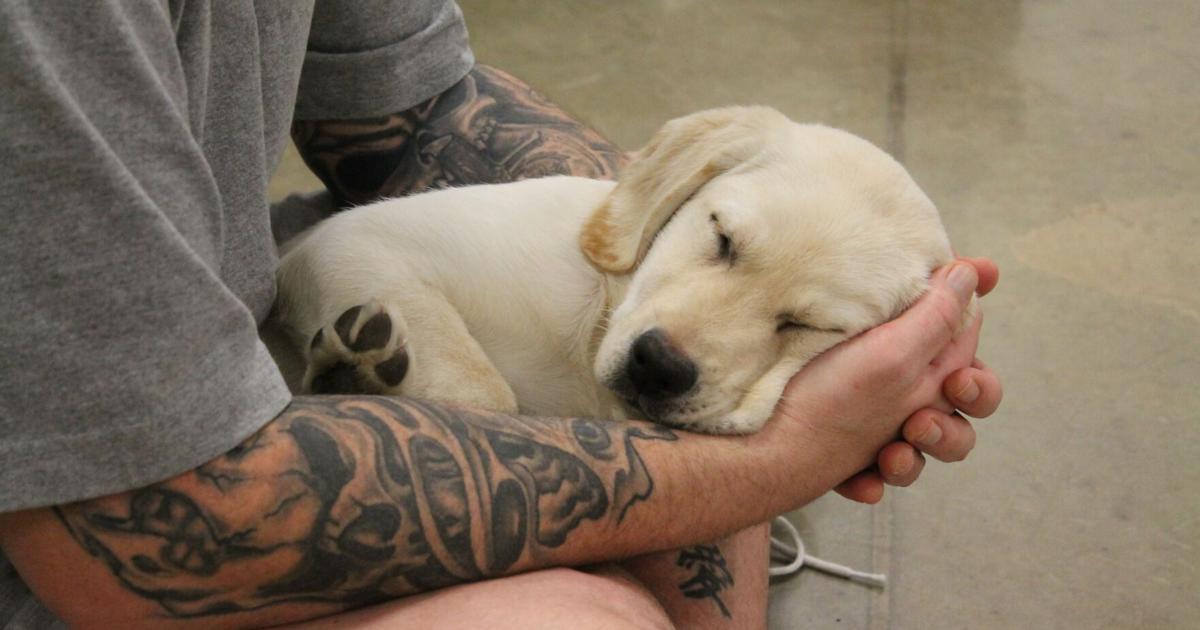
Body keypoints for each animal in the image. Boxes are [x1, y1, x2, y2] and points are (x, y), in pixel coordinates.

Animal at [276, 105, 960, 434]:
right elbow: (484, 393)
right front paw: (354, 375)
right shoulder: (346, 241)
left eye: (810, 326)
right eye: (721, 237)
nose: (658, 368)